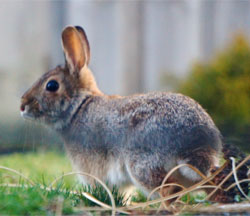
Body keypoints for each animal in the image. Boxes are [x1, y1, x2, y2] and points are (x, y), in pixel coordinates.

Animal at [20, 26, 222, 197]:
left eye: (51, 85)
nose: (22, 106)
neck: (78, 107)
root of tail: (196, 142)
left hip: (142, 165)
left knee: (169, 190)